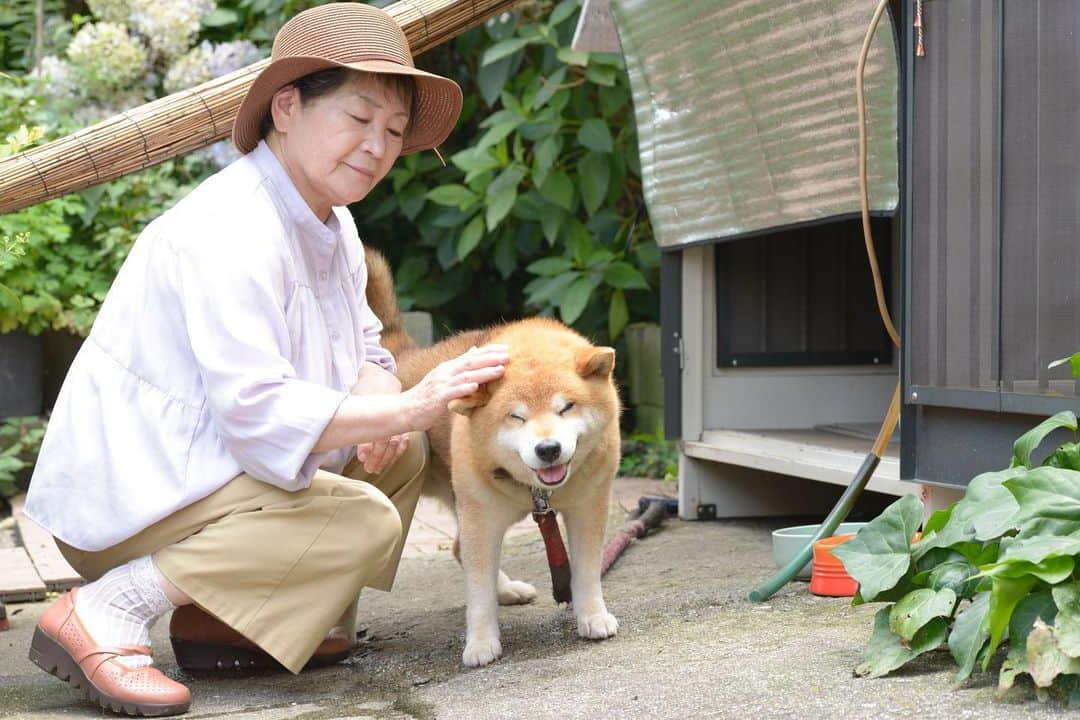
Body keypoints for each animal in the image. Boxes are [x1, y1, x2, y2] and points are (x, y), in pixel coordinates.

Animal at [365, 250, 622, 669]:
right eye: (516, 417)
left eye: (566, 407)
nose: (548, 449)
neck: (539, 493)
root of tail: (403, 354)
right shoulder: (482, 520)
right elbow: (478, 594)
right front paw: (481, 643)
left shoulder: (588, 507)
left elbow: (586, 572)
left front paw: (592, 616)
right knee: (463, 552)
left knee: (457, 548)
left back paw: (509, 590)